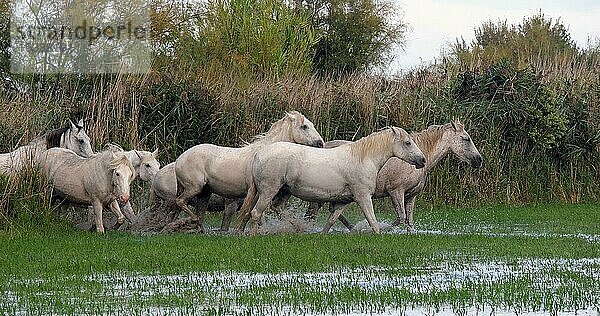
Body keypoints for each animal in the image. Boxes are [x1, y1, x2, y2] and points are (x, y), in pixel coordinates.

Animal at [172, 111, 324, 232]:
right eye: (304, 126)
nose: (320, 143)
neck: (264, 153)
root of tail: (179, 160)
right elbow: (251, 214)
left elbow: (247, 215)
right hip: (195, 188)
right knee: (181, 202)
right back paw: (194, 222)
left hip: (204, 193)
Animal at [237, 126, 428, 235]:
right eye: (408, 143)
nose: (423, 160)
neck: (363, 158)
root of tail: (258, 155)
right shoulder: (363, 197)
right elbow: (373, 221)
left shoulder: (343, 201)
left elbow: (331, 221)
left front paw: (322, 235)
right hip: (269, 190)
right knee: (256, 213)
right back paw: (254, 235)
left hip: (284, 191)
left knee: (276, 208)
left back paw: (298, 228)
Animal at [308, 120, 486, 232]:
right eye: (466, 139)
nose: (479, 160)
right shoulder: (396, 192)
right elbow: (400, 218)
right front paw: (380, 229)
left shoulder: (411, 196)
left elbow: (409, 222)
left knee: (332, 211)